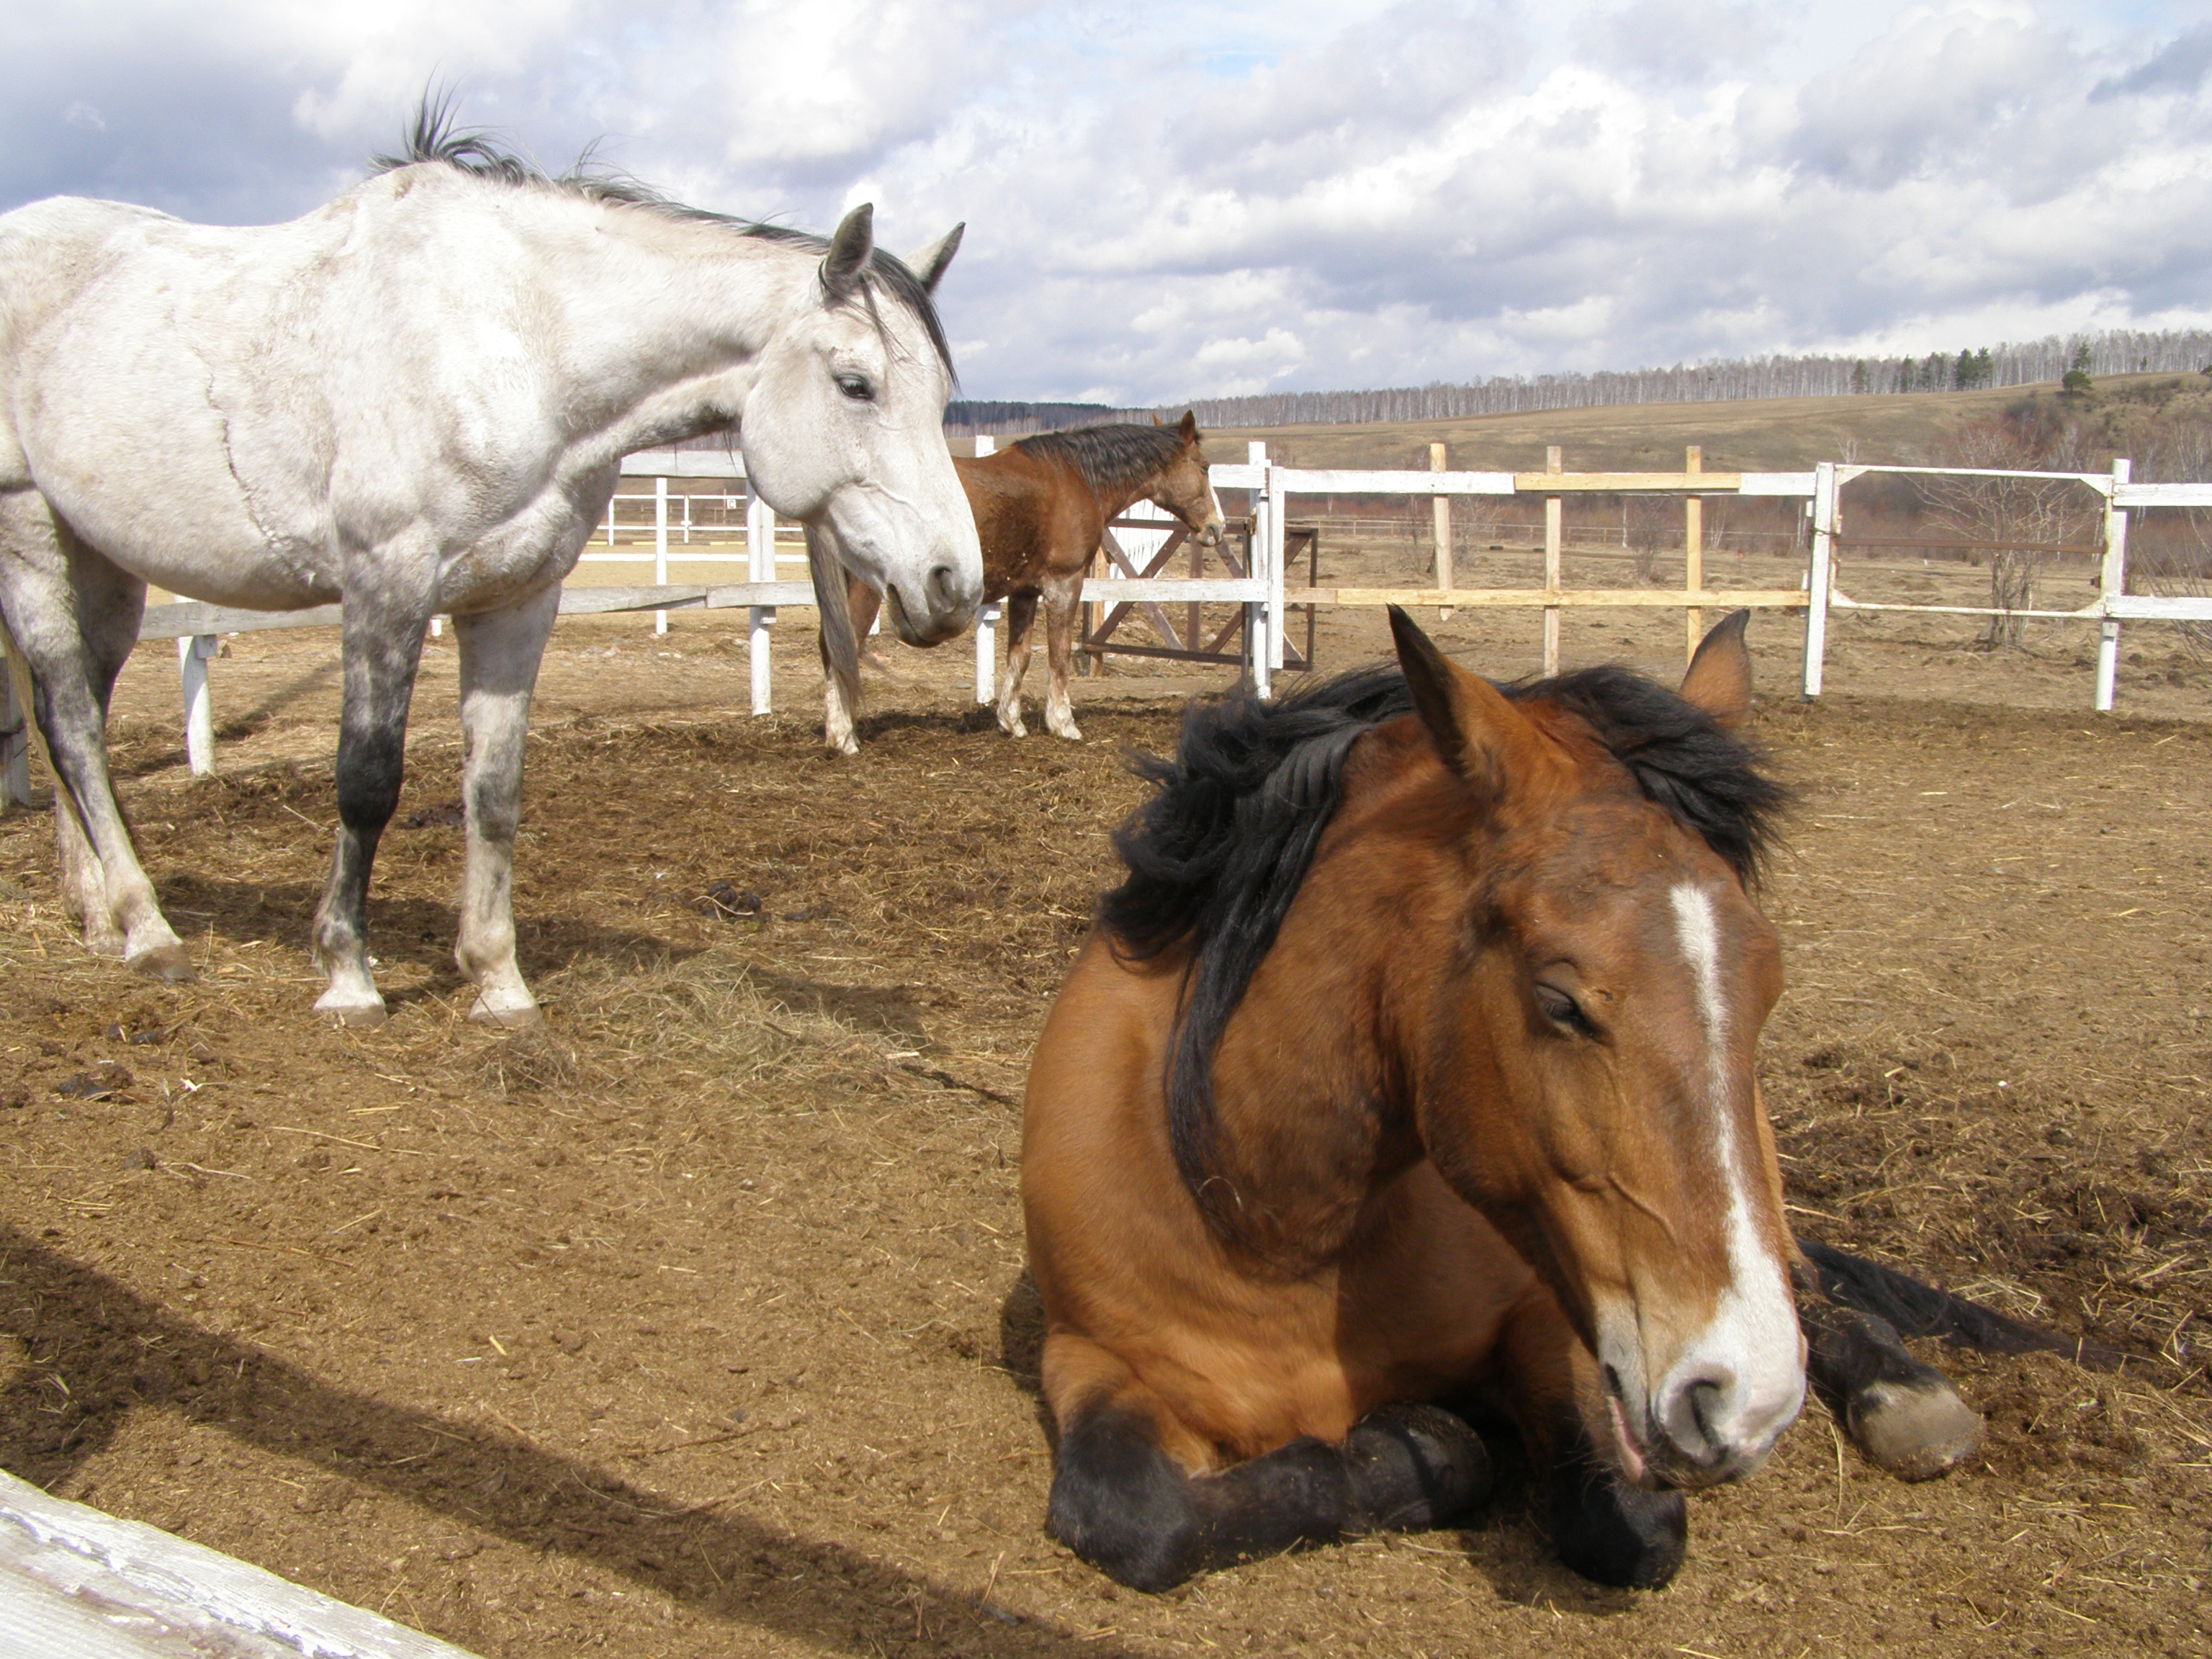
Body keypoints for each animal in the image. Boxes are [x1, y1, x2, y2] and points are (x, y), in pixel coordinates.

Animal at [822, 415, 1230, 752]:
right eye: (1205, 467)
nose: (1217, 527)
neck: (1076, 477)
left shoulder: (1024, 591)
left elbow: (1019, 656)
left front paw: (1011, 722)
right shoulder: (1065, 585)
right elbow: (1059, 653)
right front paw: (1063, 722)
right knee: (842, 649)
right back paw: (844, 738)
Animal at [1017, 615, 2070, 1601]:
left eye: (1767, 988)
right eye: (1561, 1001)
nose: (1743, 1398)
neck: (1264, 1224)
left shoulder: (1555, 1319)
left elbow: (1631, 1532)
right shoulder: (1089, 1360)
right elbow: (1140, 1518)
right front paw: (1423, 1438)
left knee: (1808, 1282)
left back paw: (1906, 1392)